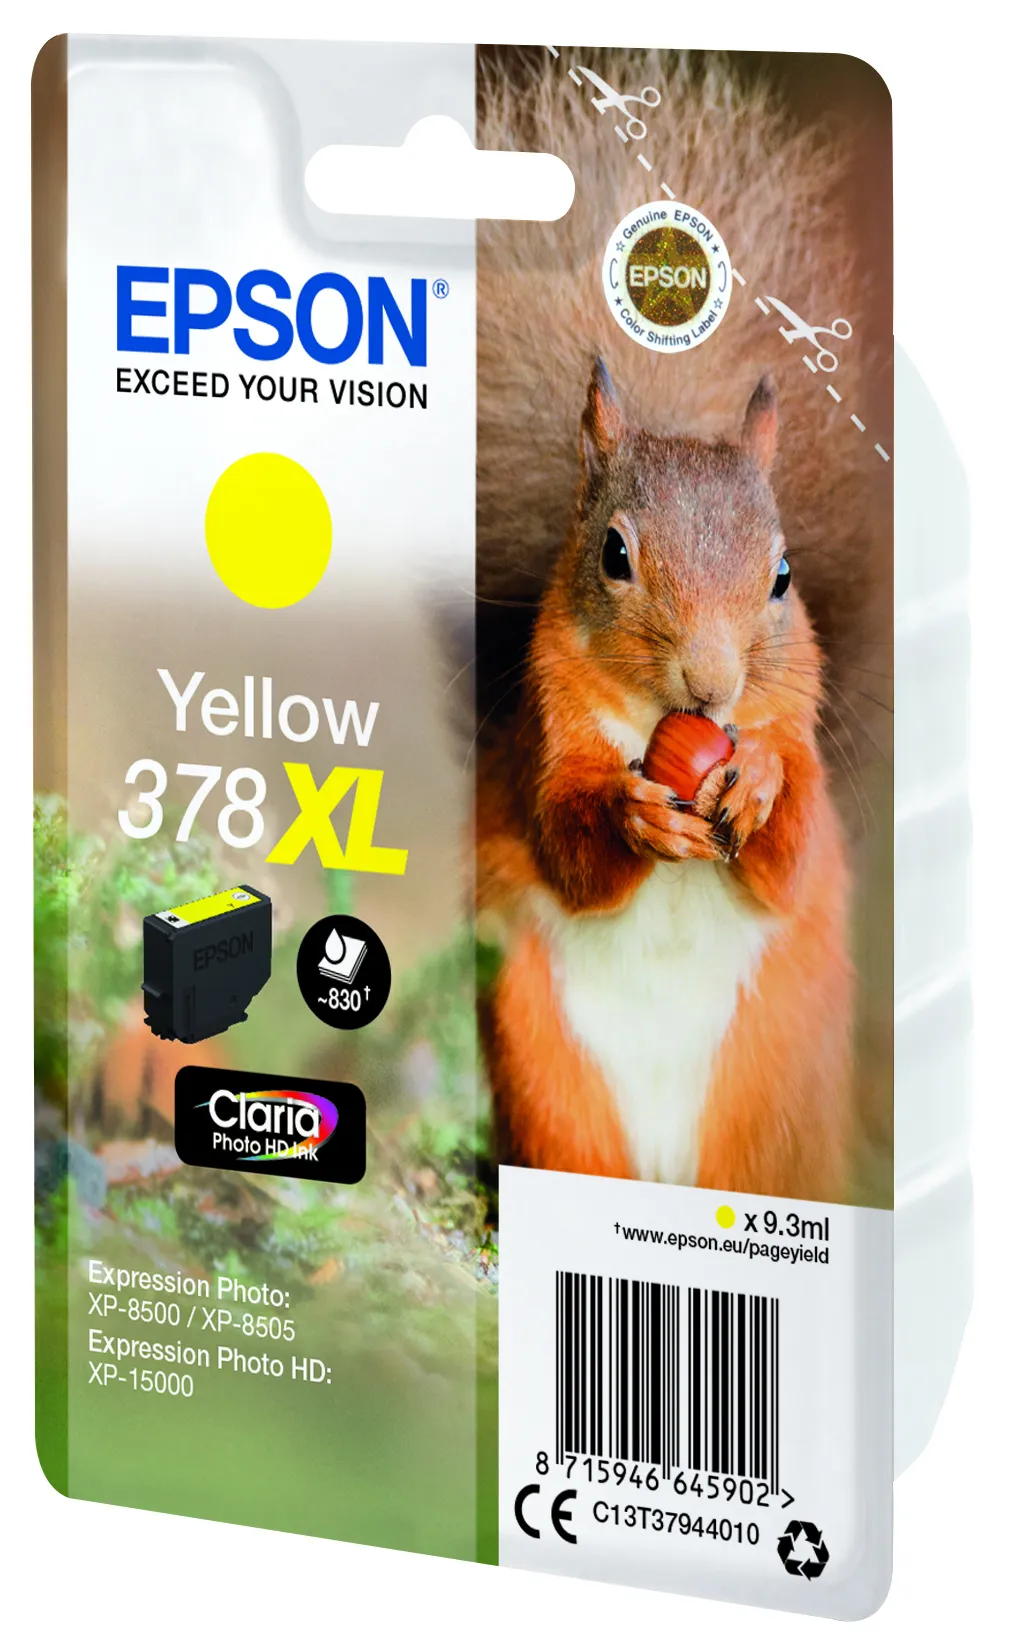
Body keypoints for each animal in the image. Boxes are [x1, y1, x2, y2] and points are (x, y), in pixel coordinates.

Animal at [471, 49, 891, 1200]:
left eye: (782, 576)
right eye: (614, 554)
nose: (710, 687)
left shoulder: (796, 730)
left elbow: (790, 851)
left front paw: (755, 783)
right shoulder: (545, 736)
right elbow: (566, 843)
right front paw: (631, 816)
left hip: (771, 1094)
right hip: (546, 1071)